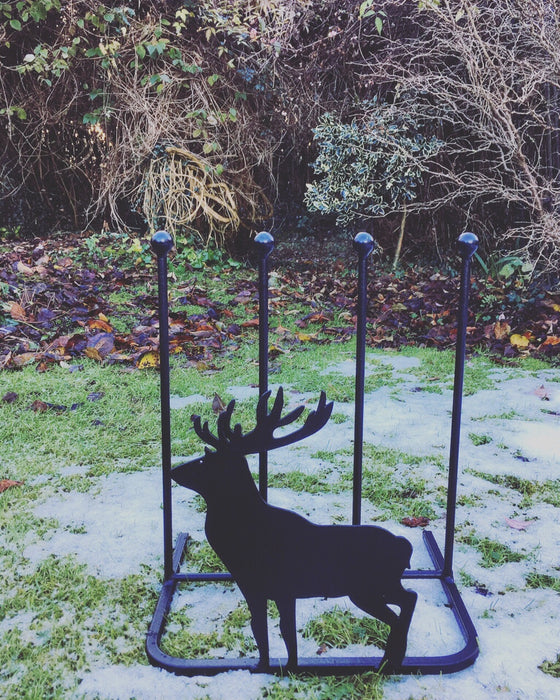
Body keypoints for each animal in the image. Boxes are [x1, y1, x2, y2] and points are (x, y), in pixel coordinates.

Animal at [171, 387, 417, 672]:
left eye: (204, 461)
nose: (173, 470)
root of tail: (404, 546)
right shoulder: (264, 588)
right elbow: (268, 628)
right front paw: (275, 665)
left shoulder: (273, 586)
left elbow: (277, 628)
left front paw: (273, 667)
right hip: (381, 585)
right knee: (409, 599)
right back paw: (392, 660)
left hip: (368, 587)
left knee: (404, 606)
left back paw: (389, 661)